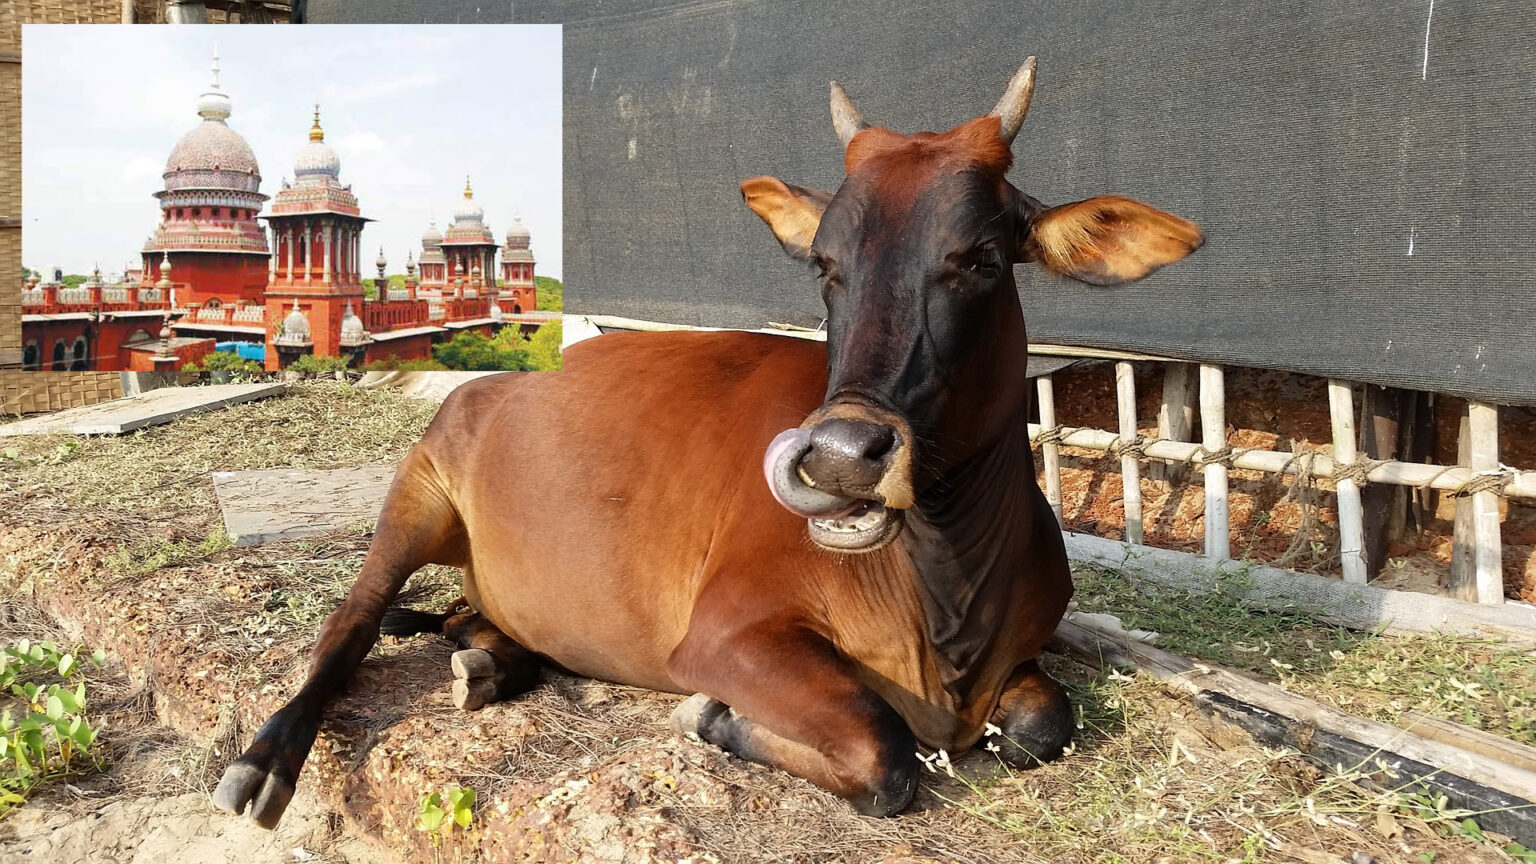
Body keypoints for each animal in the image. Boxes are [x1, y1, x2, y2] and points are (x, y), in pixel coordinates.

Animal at [214, 58, 1202, 828]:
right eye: (825, 265)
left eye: (983, 258)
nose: (841, 457)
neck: (946, 593)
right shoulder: (728, 634)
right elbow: (885, 754)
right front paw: (717, 721)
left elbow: (1043, 727)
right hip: (417, 494)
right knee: (350, 623)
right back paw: (267, 758)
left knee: (469, 620)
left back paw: (490, 659)